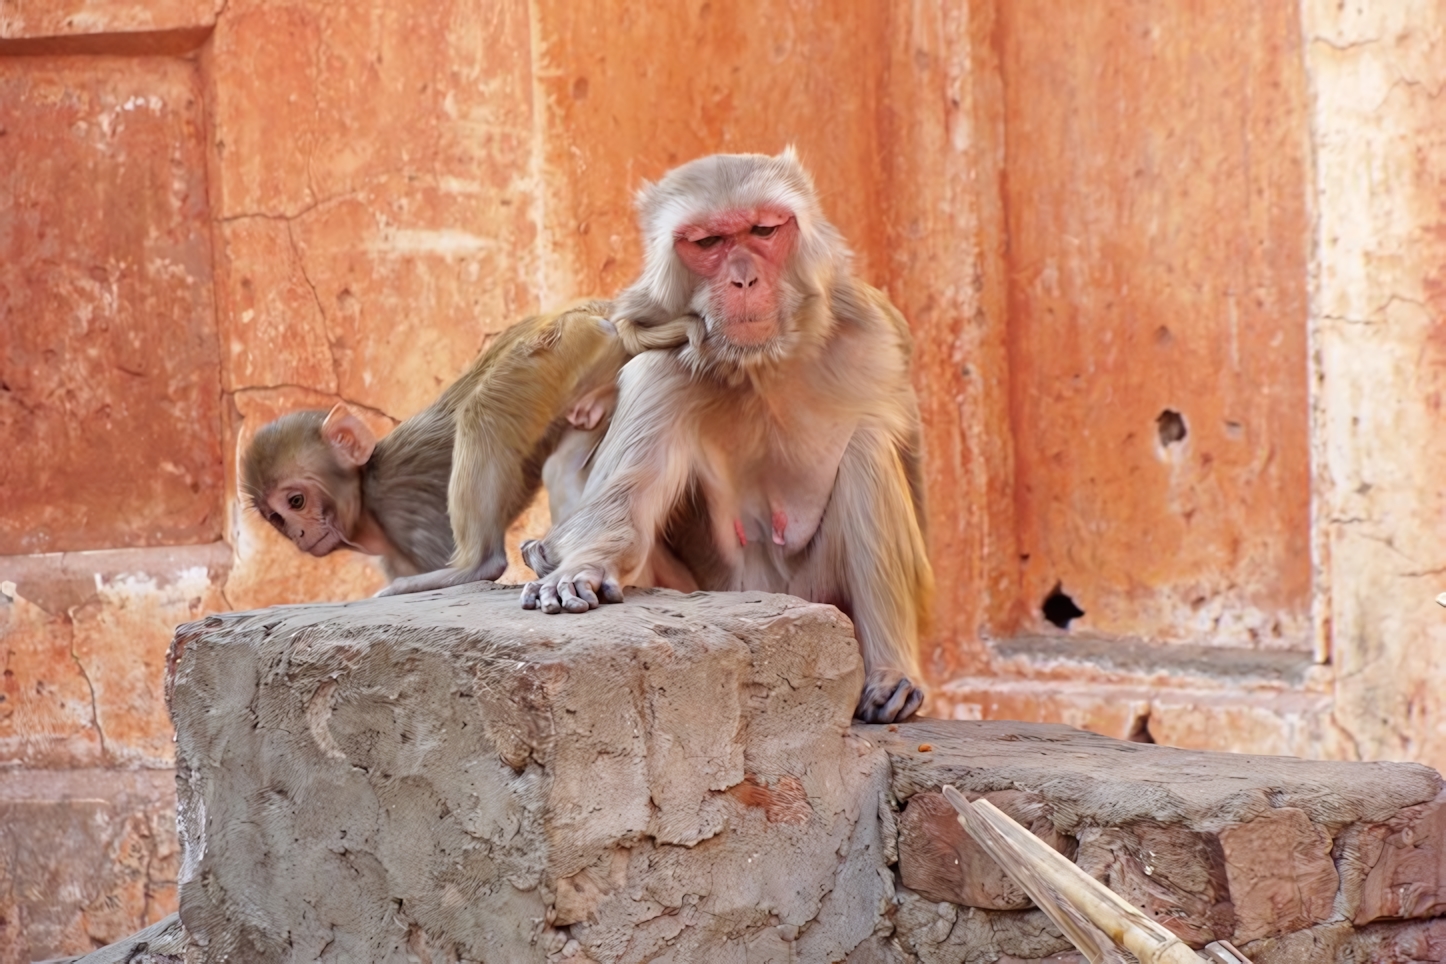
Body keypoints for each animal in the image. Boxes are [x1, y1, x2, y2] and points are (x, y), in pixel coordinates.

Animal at [526, 152, 931, 722]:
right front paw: (579, 566)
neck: (759, 364)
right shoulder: (664, 368)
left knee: (867, 447)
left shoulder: (878, 341)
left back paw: (888, 672)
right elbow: (622, 507)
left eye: (763, 230)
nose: (744, 280)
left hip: (818, 597)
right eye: (709, 242)